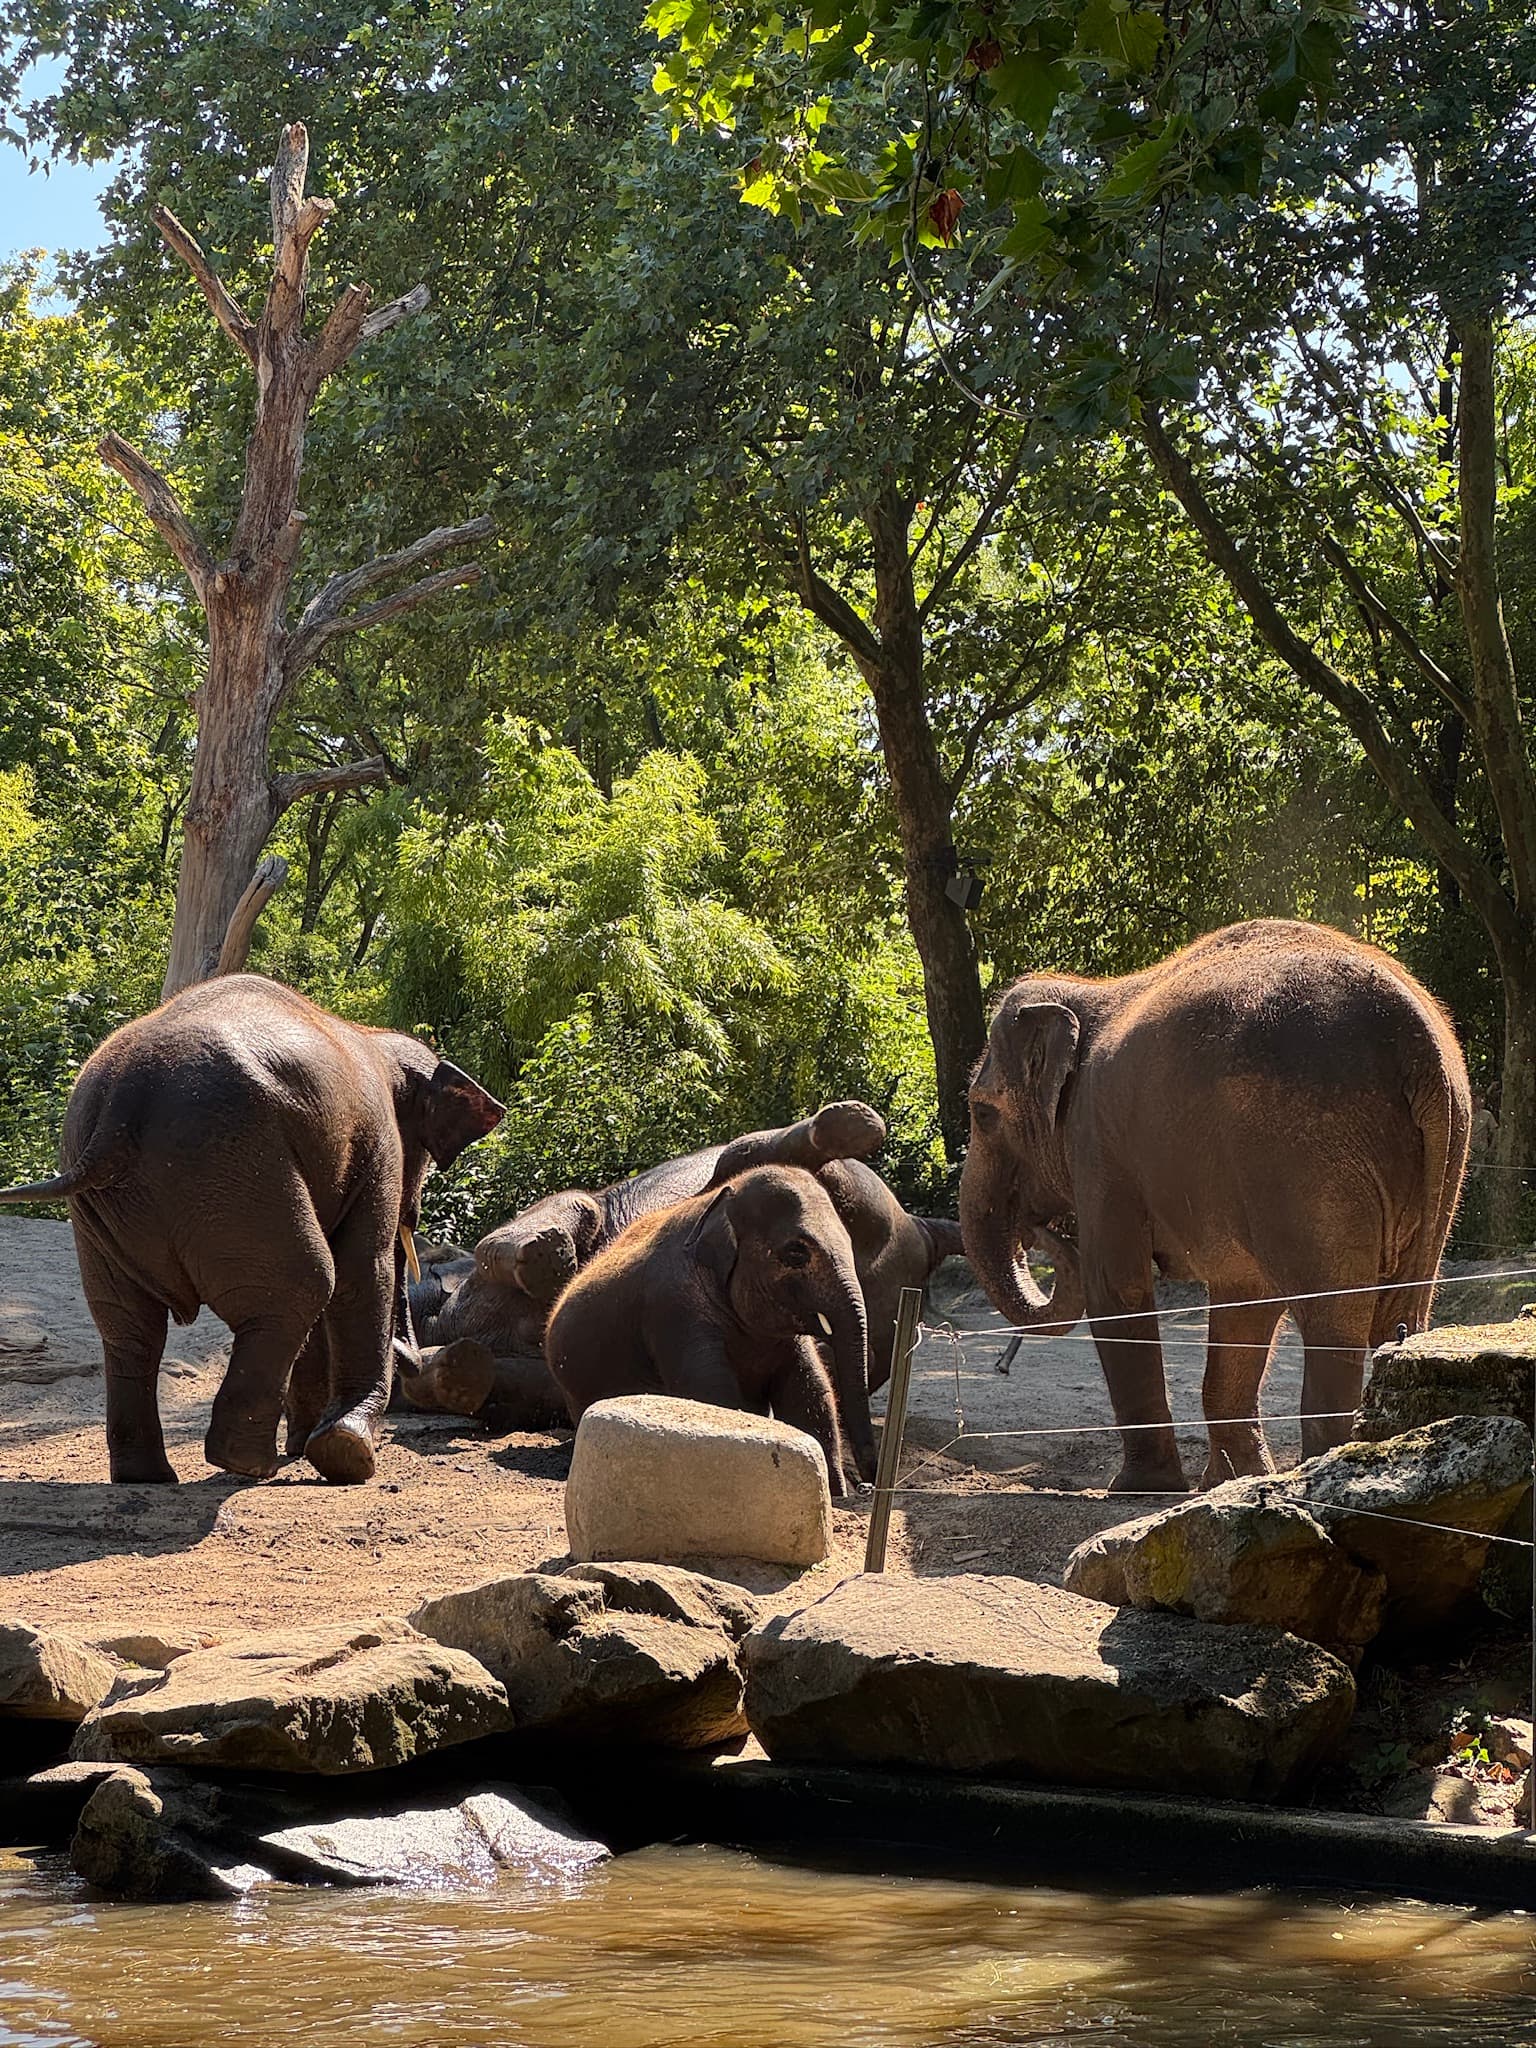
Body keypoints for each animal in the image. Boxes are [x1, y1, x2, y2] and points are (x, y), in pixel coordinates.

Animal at [0, 975, 504, 1486]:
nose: (416, 1360)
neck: (372, 1036)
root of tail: (120, 1107)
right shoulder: (376, 1140)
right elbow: (363, 1268)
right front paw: (346, 1454)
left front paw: (305, 1446)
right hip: (232, 1164)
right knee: (305, 1282)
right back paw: (247, 1463)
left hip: (109, 1203)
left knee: (128, 1324)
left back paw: (149, 1475)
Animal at [544, 1165, 875, 1493]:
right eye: (796, 1252)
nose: (866, 1486)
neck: (721, 1200)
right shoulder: (673, 1307)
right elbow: (711, 1391)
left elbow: (809, 1391)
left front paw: (835, 1493)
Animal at [959, 919, 1471, 1494]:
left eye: (982, 1114)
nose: (1037, 1230)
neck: (1087, 994)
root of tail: (1417, 1041)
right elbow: (1243, 1301)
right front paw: (1232, 1481)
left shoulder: (1099, 1148)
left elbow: (1116, 1289)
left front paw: (1139, 1489)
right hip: (1444, 1156)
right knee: (1402, 1315)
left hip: (1307, 1159)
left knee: (1332, 1319)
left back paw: (1327, 1470)